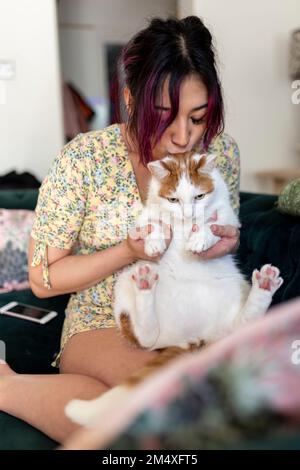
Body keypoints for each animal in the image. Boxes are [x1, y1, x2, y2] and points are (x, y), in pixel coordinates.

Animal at [64, 151, 282, 426]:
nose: (189, 215)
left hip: (236, 290)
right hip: (126, 286)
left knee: (243, 323)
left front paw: (200, 237)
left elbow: (212, 225)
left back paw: (265, 285)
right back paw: (145, 284)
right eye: (173, 199)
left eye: (199, 197)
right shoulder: (146, 218)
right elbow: (156, 224)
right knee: (146, 334)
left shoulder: (228, 219)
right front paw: (156, 241)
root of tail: (194, 339)